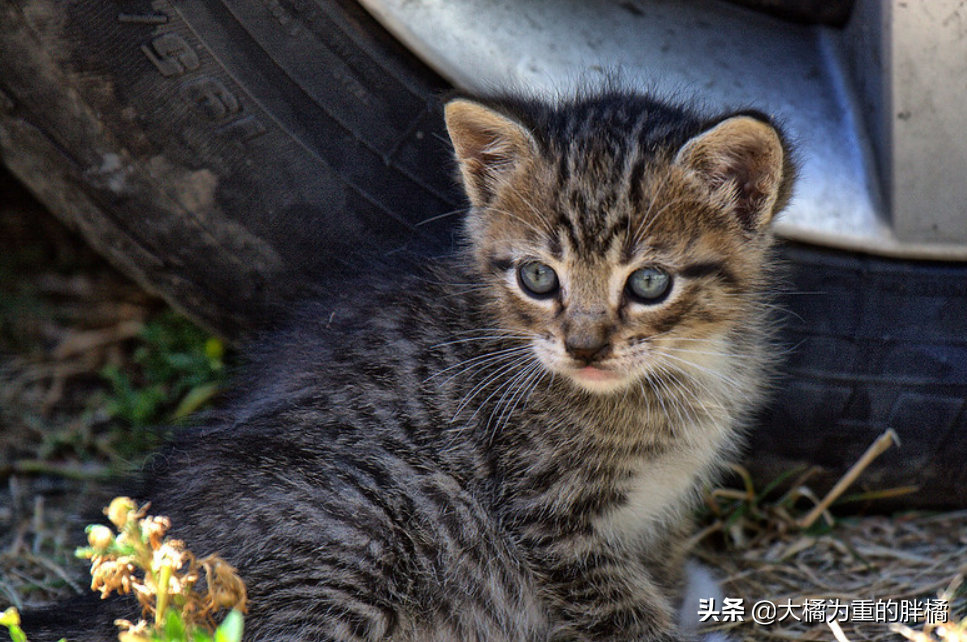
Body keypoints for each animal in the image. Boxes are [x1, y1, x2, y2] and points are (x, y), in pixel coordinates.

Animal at [28, 89, 796, 640]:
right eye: (537, 278)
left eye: (649, 284)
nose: (583, 347)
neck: (680, 374)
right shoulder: (549, 518)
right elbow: (619, 612)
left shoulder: (659, 509)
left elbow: (657, 569)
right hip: (357, 534)